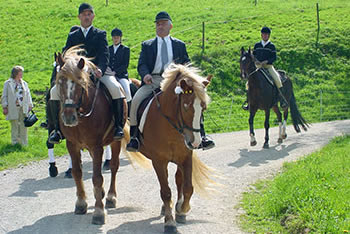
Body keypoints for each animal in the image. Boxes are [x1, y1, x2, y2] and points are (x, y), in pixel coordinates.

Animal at [54, 46, 148, 225]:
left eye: (80, 84)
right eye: (59, 82)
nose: (68, 117)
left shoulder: (96, 146)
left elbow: (97, 178)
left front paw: (98, 212)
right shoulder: (72, 145)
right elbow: (77, 172)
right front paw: (81, 203)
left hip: (115, 141)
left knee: (114, 167)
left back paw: (110, 197)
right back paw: (102, 194)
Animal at [128, 63, 213, 233]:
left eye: (203, 108)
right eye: (186, 106)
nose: (195, 142)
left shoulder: (186, 157)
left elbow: (188, 187)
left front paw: (182, 210)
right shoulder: (159, 161)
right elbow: (166, 191)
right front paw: (169, 223)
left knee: (178, 180)